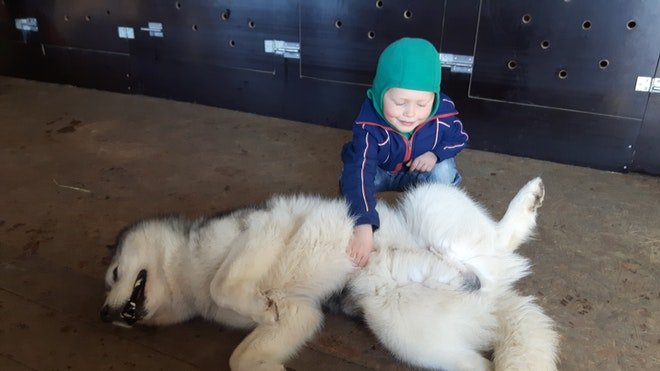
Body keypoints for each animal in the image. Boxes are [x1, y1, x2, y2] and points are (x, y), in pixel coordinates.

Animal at [102, 179, 556, 370]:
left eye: (113, 273)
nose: (104, 315)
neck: (188, 271)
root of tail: (496, 293)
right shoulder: (300, 313)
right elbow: (241, 356)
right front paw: (271, 364)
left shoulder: (261, 230)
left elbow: (224, 283)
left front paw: (256, 306)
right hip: (403, 331)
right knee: (478, 360)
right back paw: (457, 276)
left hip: (428, 197)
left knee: (498, 239)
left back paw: (526, 201)